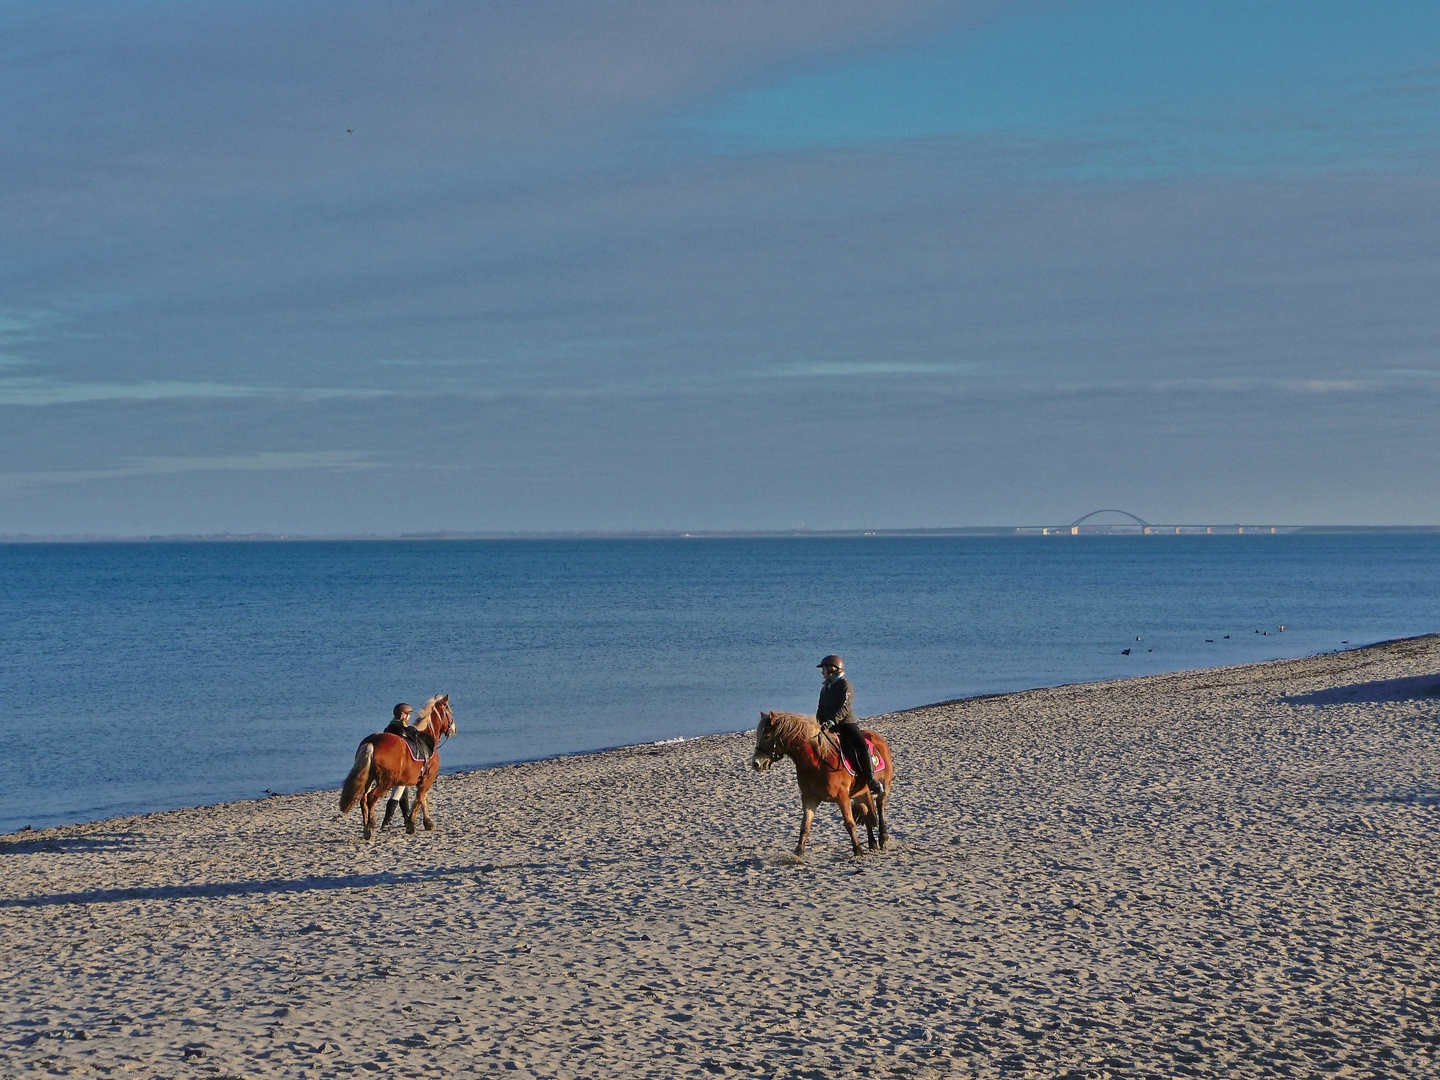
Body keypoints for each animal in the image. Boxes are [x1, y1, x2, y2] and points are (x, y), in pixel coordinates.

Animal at [335, 696, 452, 840]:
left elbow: (421, 800)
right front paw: (411, 826)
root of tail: (372, 742)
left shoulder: (410, 781)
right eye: (449, 711)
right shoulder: (426, 780)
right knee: (371, 798)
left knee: (364, 799)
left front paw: (427, 822)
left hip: (370, 779)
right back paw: (370, 827)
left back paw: (367, 828)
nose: (453, 728)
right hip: (386, 782)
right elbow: (419, 800)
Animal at [748, 711, 892, 864]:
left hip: (885, 786)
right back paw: (872, 843)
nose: (755, 763)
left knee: (880, 806)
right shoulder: (810, 798)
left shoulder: (842, 797)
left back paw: (883, 838)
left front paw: (858, 850)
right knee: (865, 812)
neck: (819, 762)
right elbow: (805, 826)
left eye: (766, 736)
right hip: (860, 792)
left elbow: (849, 823)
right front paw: (798, 853)